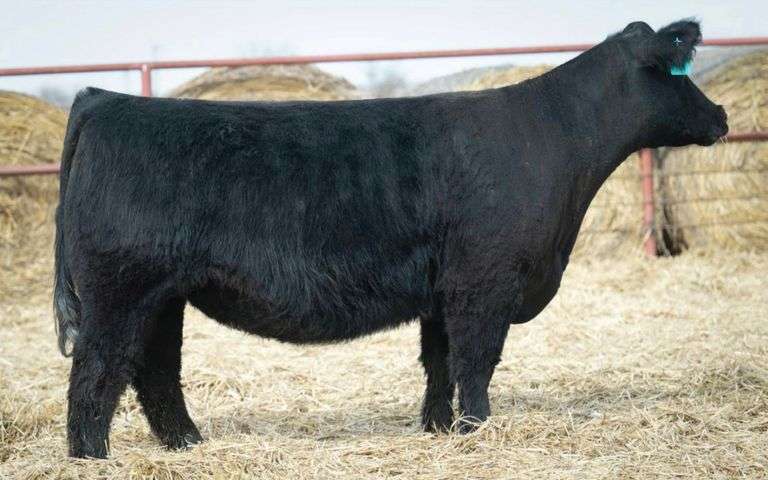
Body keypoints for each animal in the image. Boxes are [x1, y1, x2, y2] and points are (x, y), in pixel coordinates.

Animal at [54, 19, 727, 458]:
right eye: (679, 72)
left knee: (154, 371)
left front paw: (437, 429)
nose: (721, 116)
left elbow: (440, 361)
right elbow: (476, 360)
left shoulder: (442, 289)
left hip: (164, 297)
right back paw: (92, 457)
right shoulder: (484, 281)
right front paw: (477, 431)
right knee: (97, 371)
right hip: (119, 290)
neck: (551, 141)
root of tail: (104, 99)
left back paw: (188, 445)